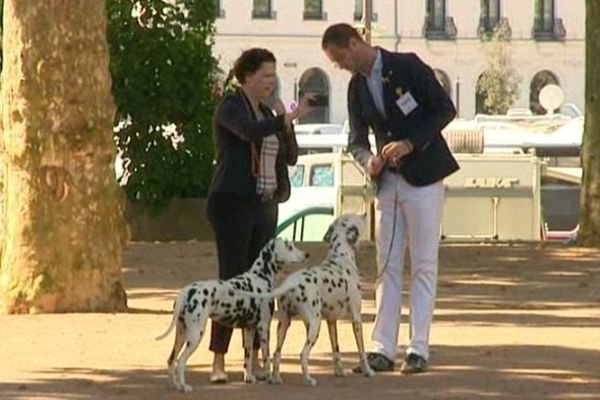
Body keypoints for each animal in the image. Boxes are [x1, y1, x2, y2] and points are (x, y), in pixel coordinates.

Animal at [155, 236, 308, 392]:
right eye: (289, 247)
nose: (306, 255)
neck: (260, 277)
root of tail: (186, 291)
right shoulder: (264, 327)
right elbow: (267, 357)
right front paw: (271, 378)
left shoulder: (249, 329)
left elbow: (248, 357)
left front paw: (249, 378)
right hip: (195, 336)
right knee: (180, 362)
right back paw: (184, 386)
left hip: (180, 334)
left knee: (171, 360)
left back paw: (174, 385)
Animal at [251, 214, 372, 386]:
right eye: (355, 218)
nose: (364, 214)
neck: (341, 257)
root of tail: (291, 282)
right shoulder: (356, 318)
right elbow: (362, 351)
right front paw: (368, 371)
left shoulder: (331, 321)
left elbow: (336, 349)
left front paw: (339, 371)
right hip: (314, 325)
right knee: (303, 355)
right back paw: (308, 379)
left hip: (283, 325)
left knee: (276, 354)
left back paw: (275, 378)